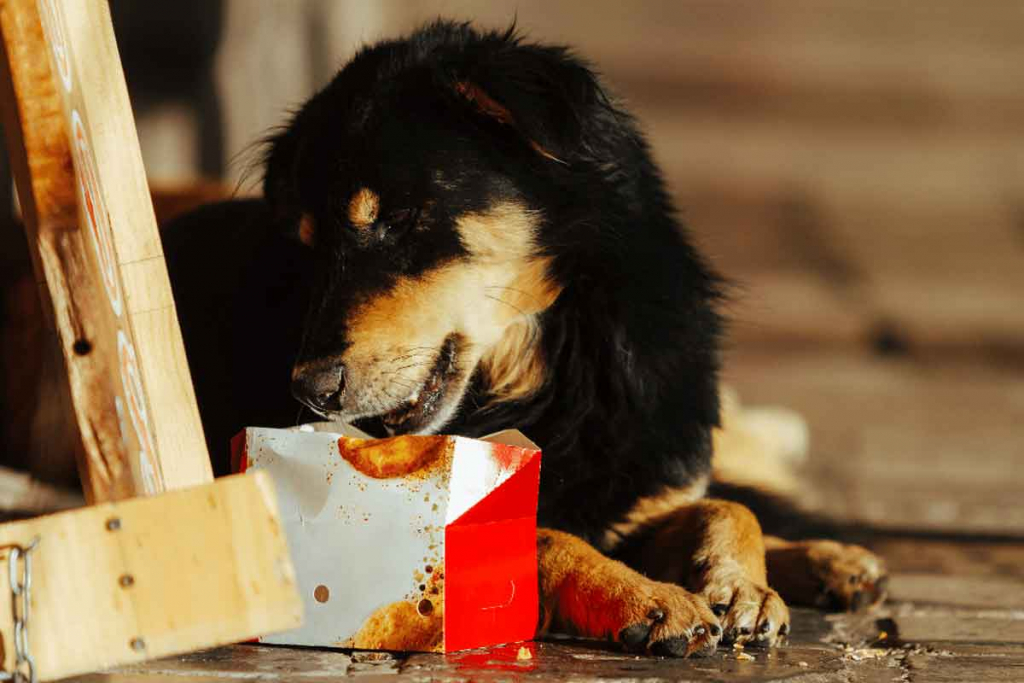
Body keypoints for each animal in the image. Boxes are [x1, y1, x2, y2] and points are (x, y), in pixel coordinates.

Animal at [161, 21, 888, 655]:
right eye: (309, 247)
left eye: (394, 219)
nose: (308, 388)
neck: (559, 364)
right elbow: (544, 534)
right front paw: (647, 596)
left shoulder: (636, 484)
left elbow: (728, 507)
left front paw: (740, 586)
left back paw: (831, 558)